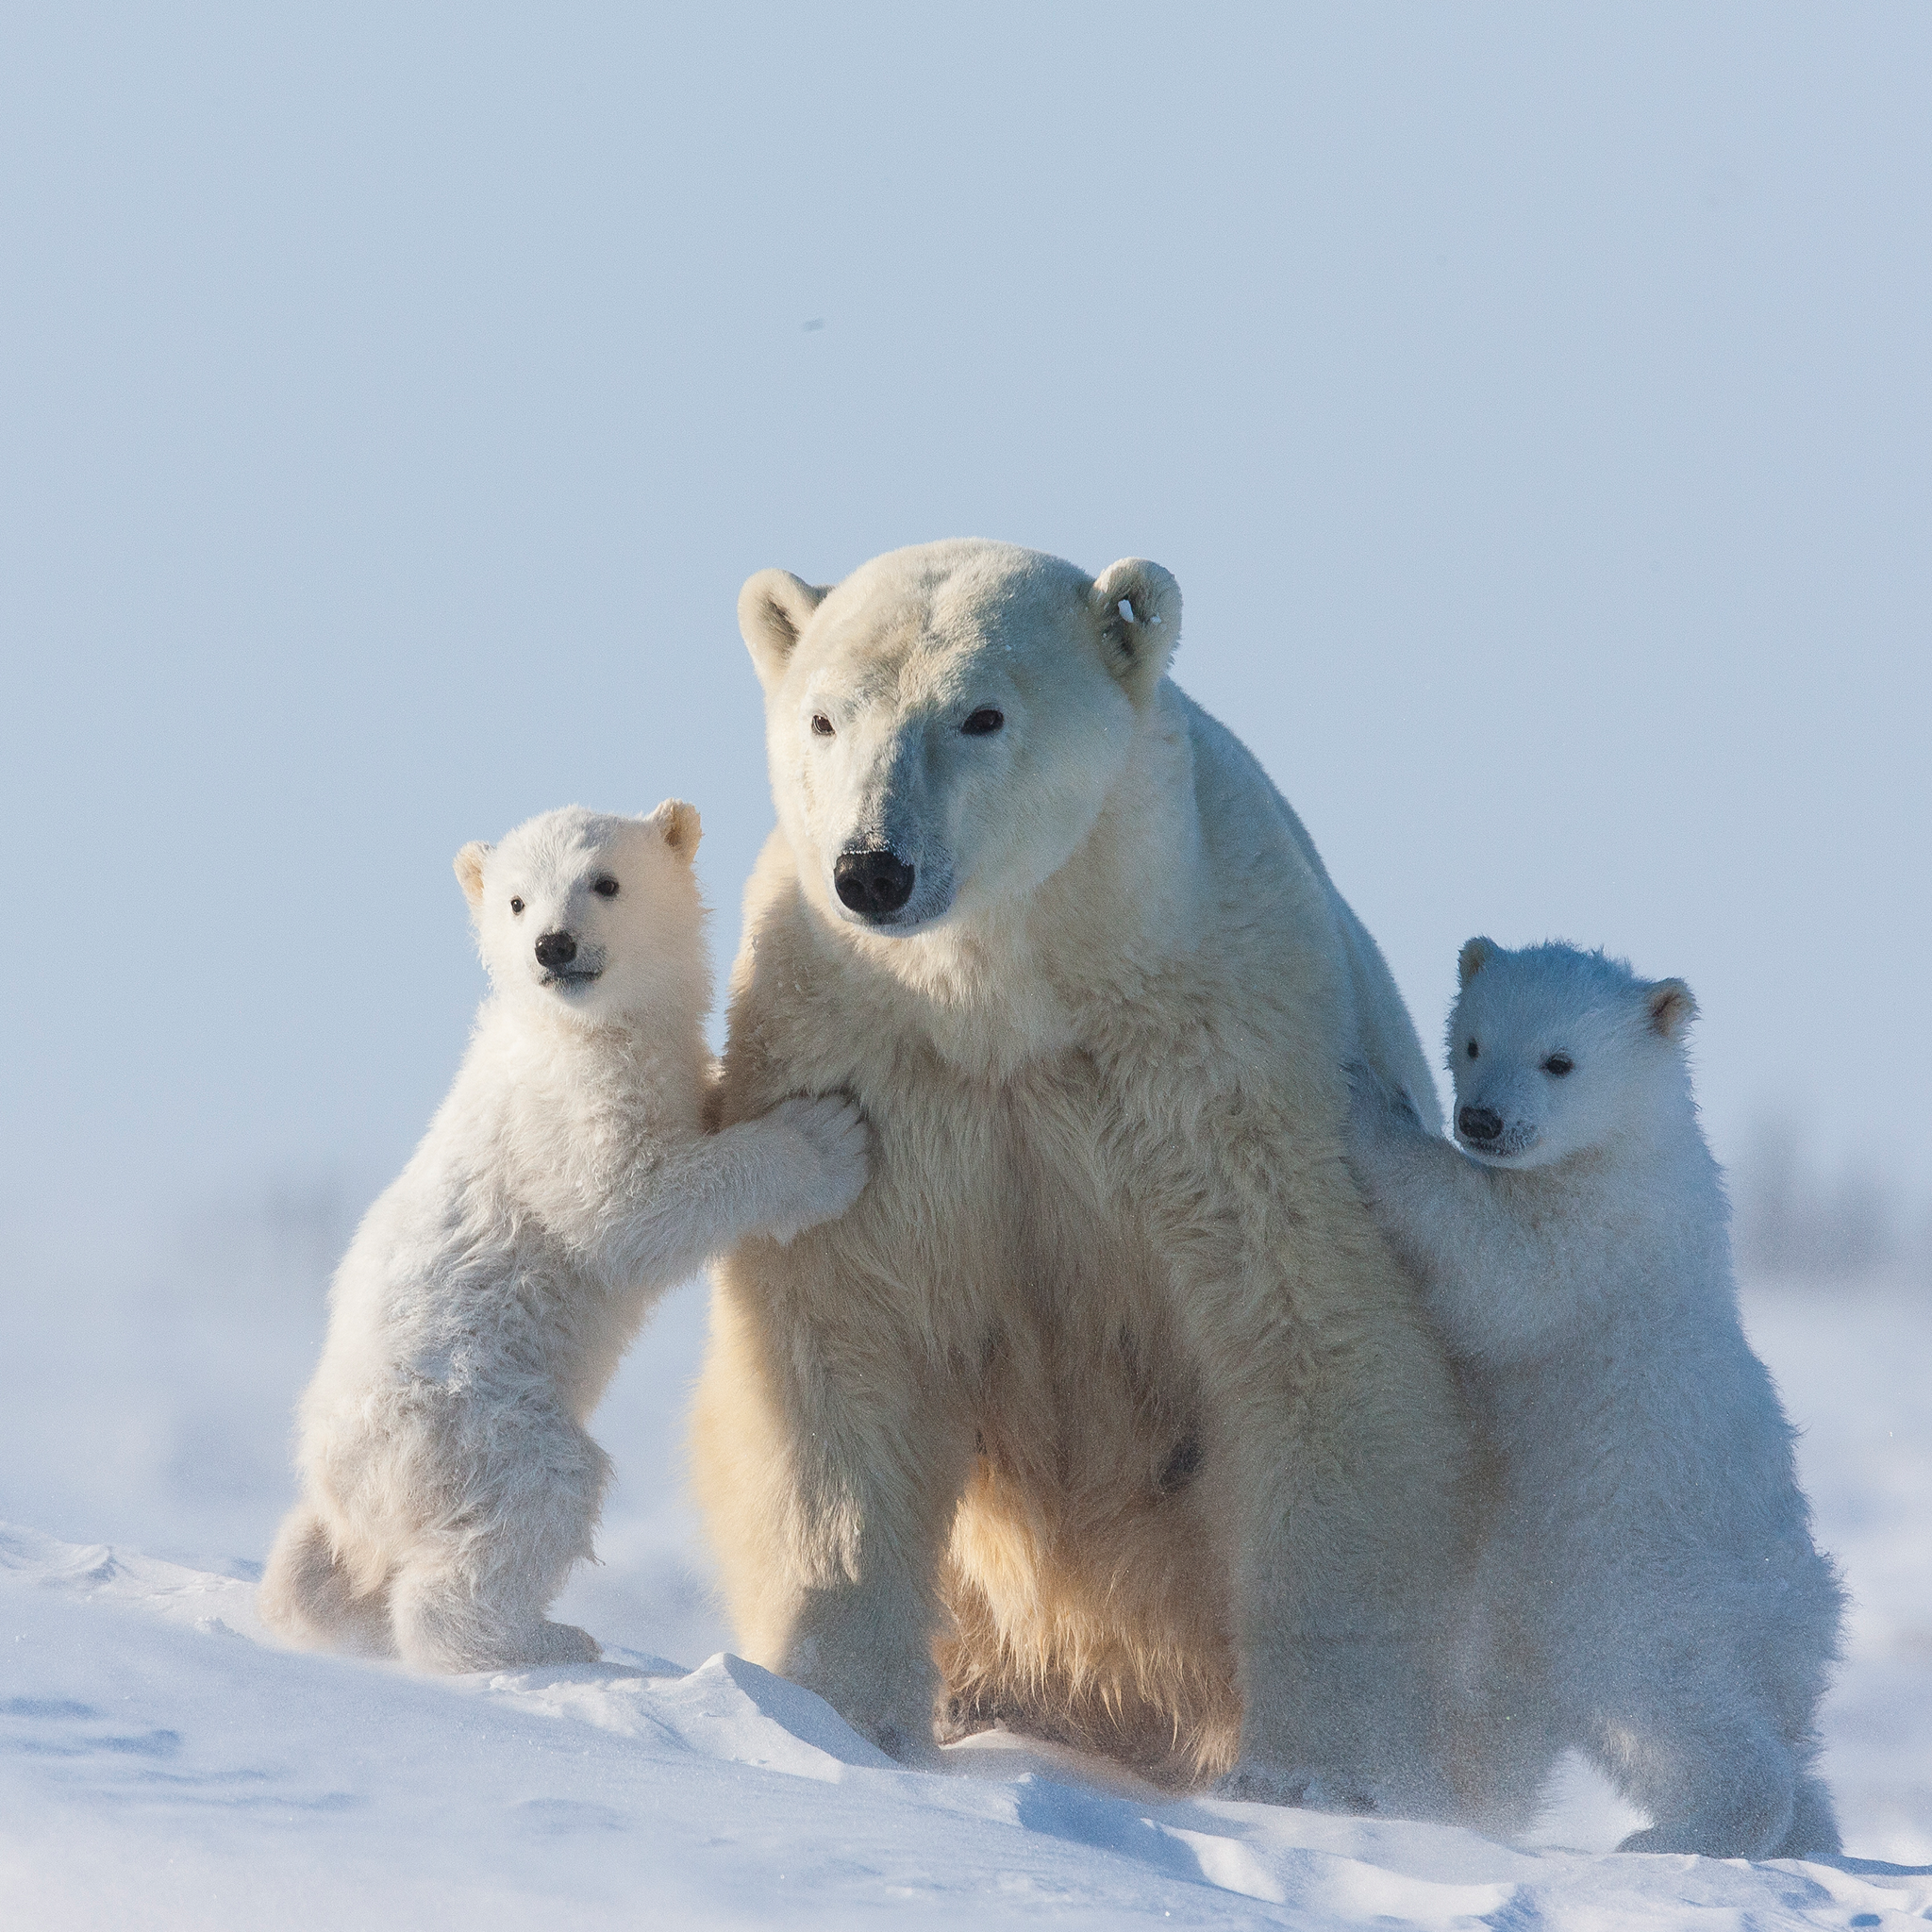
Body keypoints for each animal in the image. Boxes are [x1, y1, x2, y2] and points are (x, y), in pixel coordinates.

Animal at [259, 802, 870, 1672]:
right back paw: (540, 1638)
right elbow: (627, 1208)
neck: (578, 1031)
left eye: (604, 881)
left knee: (316, 1562)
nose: (555, 945)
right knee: (540, 1492)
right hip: (476, 1419)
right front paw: (825, 1139)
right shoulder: (568, 1113)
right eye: (516, 901)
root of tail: (345, 1488)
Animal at [688, 538, 1475, 1810]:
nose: (873, 869)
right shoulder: (868, 1067)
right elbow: (844, 1344)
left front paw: (1318, 1774)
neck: (1017, 996)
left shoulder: (1224, 1071)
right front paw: (834, 1717)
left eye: (980, 713)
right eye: (824, 716)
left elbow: (1311, 1340)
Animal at [1344, 937, 1844, 1857]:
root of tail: (1799, 1621)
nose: (1481, 1122)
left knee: (1664, 1707)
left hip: (1637, 1578)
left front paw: (1370, 1103)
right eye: (1473, 1041)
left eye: (1559, 1060)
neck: (1633, 1146)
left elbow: (1500, 1266)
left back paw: (1677, 1835)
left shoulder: (1600, 1234)